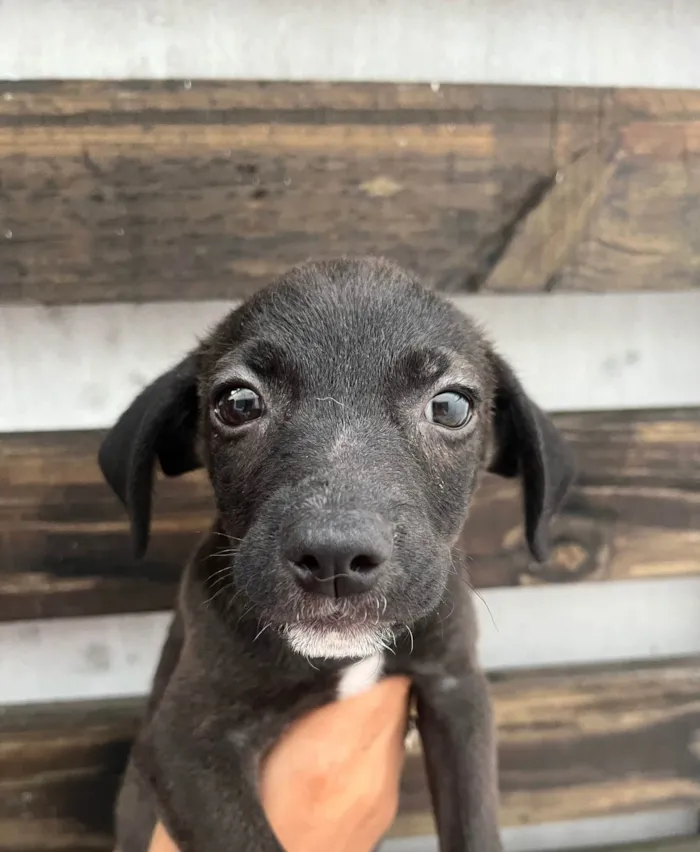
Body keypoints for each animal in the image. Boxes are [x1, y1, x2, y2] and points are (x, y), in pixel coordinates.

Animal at [102, 256, 576, 848]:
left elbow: (474, 822)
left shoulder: (456, 687)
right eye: (238, 403)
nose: (335, 557)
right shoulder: (183, 743)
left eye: (450, 406)